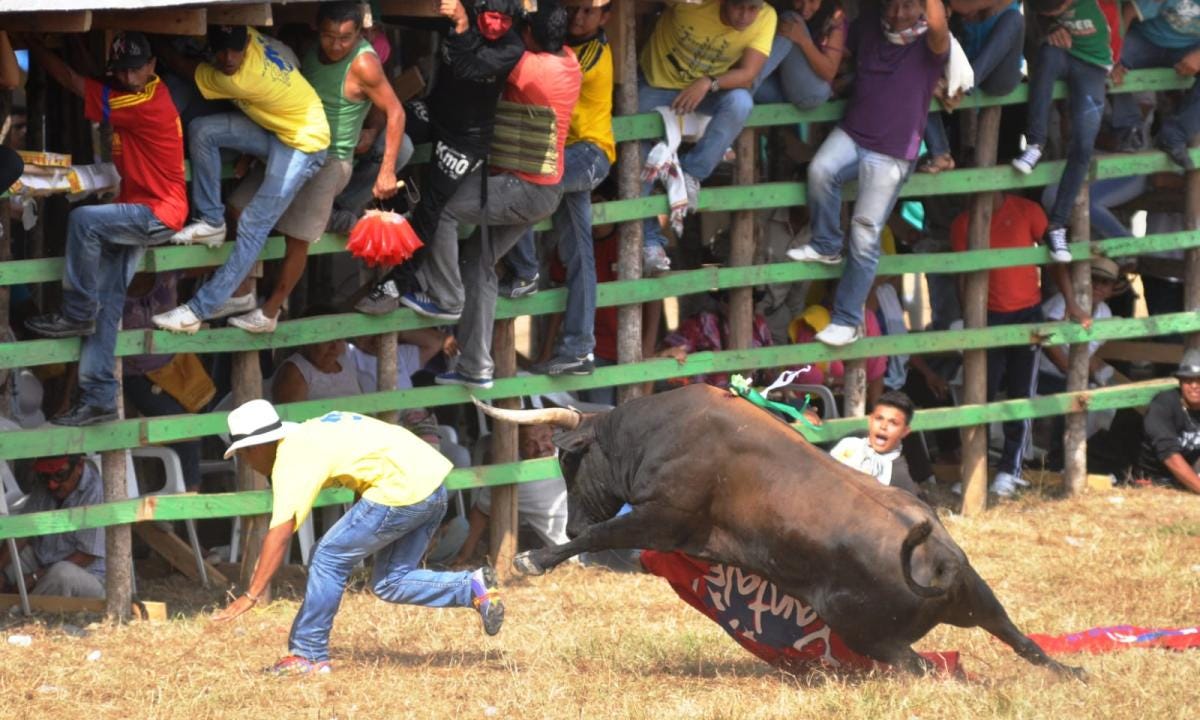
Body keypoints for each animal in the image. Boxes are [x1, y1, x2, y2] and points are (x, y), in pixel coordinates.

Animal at [477, 386, 1089, 676]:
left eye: (568, 462)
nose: (571, 518)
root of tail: (936, 564)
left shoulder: (663, 518)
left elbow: (603, 537)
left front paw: (533, 560)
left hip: (872, 633)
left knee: (926, 669)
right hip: (977, 598)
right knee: (1020, 639)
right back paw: (1071, 672)